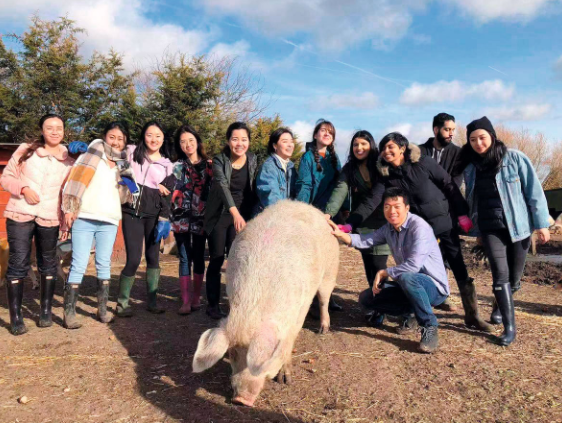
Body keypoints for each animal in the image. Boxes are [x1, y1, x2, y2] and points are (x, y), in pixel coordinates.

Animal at [190, 200, 340, 410]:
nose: (240, 400)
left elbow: (289, 341)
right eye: (231, 353)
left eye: (262, 359)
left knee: (324, 299)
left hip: (330, 271)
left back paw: (323, 329)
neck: (254, 302)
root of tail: (305, 205)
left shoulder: (298, 312)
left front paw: (285, 380)